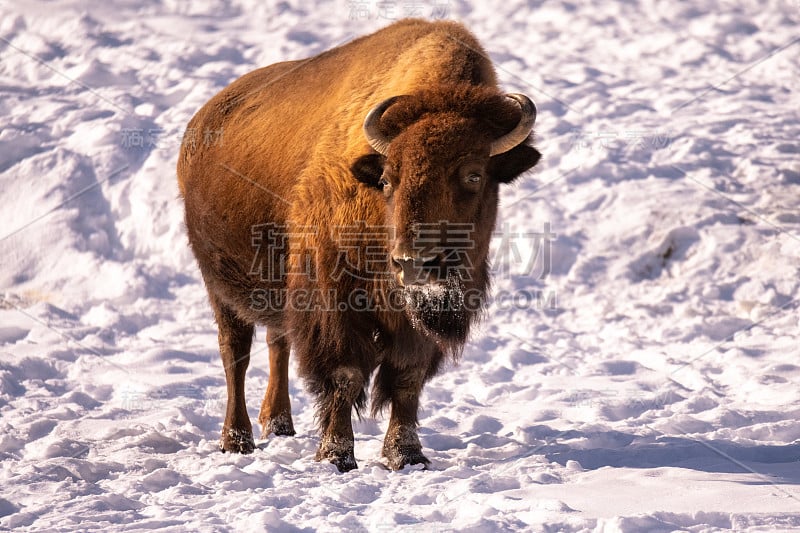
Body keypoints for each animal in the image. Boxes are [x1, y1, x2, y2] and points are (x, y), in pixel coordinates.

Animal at [177, 18, 540, 472]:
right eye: (387, 179)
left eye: (474, 174)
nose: (414, 263)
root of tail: (200, 124)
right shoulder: (334, 303)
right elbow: (344, 375)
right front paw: (336, 455)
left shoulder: (412, 322)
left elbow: (407, 378)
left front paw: (407, 455)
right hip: (220, 288)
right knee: (235, 355)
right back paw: (237, 440)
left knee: (278, 343)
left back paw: (278, 424)